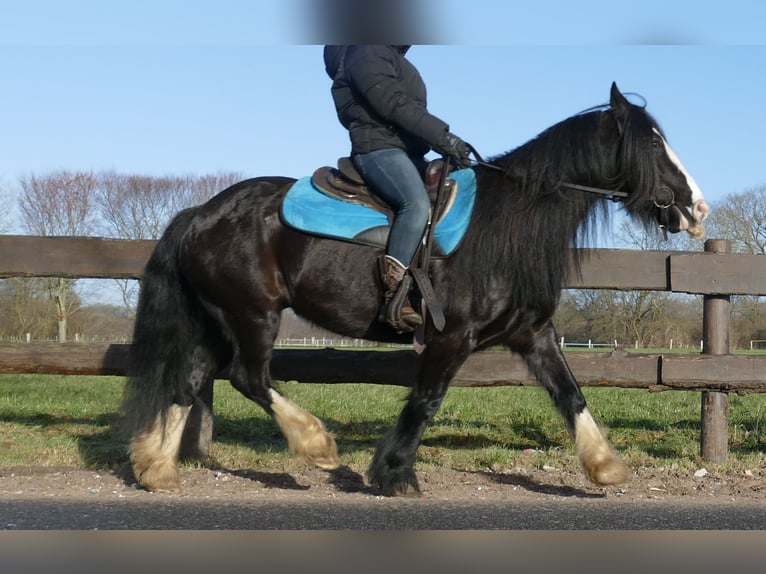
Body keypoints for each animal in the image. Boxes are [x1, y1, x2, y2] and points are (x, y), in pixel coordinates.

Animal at [123, 83, 712, 498]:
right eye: (652, 144)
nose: (696, 208)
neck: (506, 222)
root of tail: (201, 213)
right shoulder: (452, 337)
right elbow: (427, 400)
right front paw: (394, 474)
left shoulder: (533, 335)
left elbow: (571, 394)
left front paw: (606, 466)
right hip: (253, 314)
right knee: (249, 377)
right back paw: (315, 444)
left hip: (217, 320)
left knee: (188, 380)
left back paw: (157, 469)